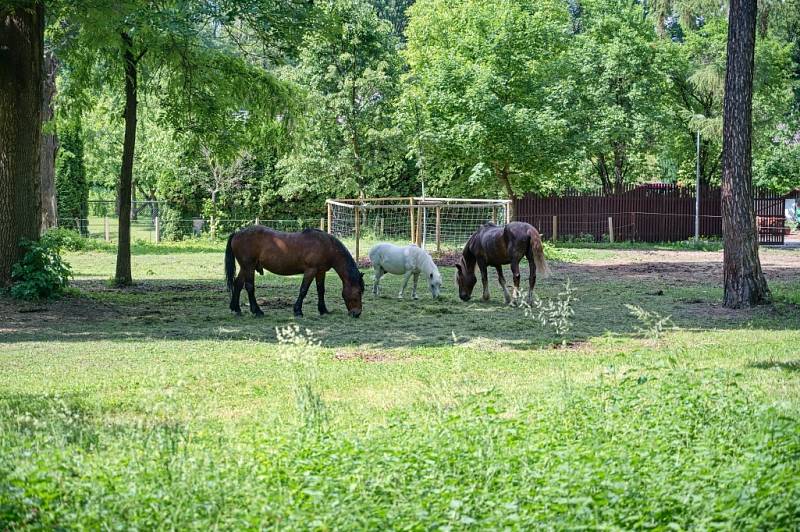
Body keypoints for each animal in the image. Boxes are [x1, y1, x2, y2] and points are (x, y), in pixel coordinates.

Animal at [223, 227, 364, 318]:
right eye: (358, 292)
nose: (357, 313)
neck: (326, 246)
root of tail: (237, 233)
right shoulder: (310, 270)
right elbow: (303, 290)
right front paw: (298, 311)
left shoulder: (320, 271)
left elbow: (321, 290)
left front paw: (323, 310)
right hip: (249, 267)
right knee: (249, 287)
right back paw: (257, 311)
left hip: (245, 267)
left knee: (238, 284)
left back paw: (236, 309)